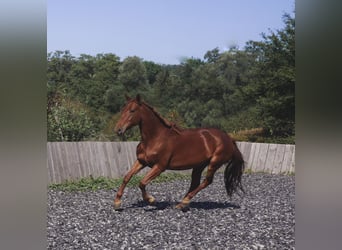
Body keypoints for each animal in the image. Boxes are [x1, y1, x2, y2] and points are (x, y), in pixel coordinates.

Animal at [113, 94, 244, 210]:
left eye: (132, 110)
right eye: (122, 110)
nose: (118, 130)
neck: (155, 138)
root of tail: (229, 139)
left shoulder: (160, 166)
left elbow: (142, 182)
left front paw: (150, 199)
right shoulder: (141, 161)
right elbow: (127, 177)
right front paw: (117, 203)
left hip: (214, 163)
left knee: (207, 181)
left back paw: (184, 201)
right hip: (199, 165)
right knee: (195, 182)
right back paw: (182, 203)